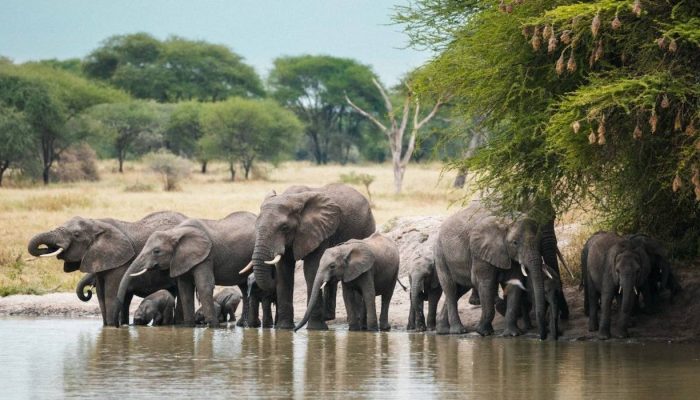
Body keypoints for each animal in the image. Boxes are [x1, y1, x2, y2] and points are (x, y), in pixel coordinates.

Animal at [27, 211, 186, 326]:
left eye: (76, 235)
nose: (87, 293)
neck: (97, 223)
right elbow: (100, 295)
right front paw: (108, 327)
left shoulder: (121, 261)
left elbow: (111, 294)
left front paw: (112, 327)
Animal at [249, 183, 374, 330]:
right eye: (256, 226)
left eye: (284, 227)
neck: (292, 198)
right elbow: (284, 271)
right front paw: (283, 329)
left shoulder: (319, 231)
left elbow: (311, 269)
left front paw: (315, 329)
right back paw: (328, 317)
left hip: (367, 228)